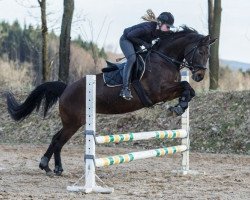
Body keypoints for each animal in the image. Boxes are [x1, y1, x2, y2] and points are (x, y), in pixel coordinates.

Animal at [6, 26, 216, 175]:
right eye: (201, 52)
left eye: (208, 54)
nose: (199, 76)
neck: (164, 59)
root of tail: (66, 88)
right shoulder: (159, 92)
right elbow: (186, 86)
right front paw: (179, 107)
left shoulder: (168, 90)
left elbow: (188, 90)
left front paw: (181, 105)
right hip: (74, 122)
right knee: (59, 140)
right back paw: (55, 168)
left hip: (73, 121)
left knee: (55, 138)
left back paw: (47, 166)